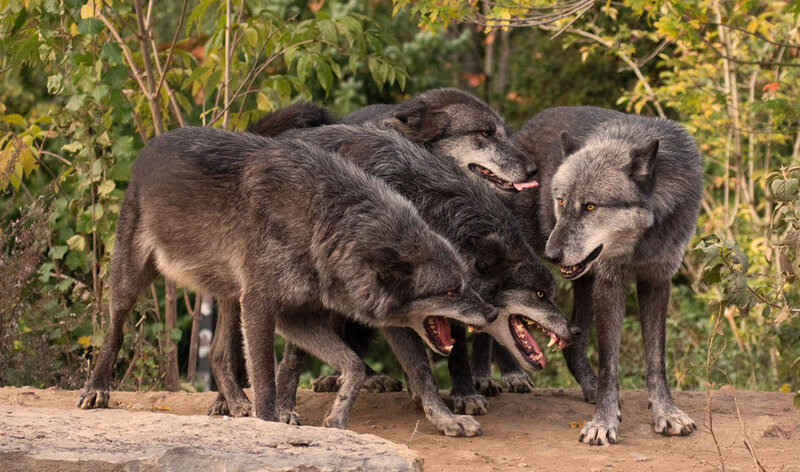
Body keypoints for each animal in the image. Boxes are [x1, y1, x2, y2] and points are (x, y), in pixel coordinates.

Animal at [76, 126, 498, 430]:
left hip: (230, 298)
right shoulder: (263, 306)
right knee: (114, 332)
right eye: (450, 290)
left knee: (217, 355)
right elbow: (266, 377)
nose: (492, 314)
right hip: (131, 281)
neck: (325, 223)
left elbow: (366, 366)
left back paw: (237, 404)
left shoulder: (298, 316)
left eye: (466, 282)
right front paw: (270, 422)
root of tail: (149, 146)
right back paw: (96, 390)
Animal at [209, 124, 577, 433]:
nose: (573, 332)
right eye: (540, 295)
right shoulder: (391, 310)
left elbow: (448, 351)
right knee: (229, 351)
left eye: (551, 293)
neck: (437, 216)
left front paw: (458, 397)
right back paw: (238, 403)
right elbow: (421, 367)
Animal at [511, 106, 703, 445]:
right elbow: (609, 364)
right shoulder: (610, 283)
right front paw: (603, 421)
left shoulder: (657, 280)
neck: (641, 240)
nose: (552, 254)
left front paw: (666, 412)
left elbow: (656, 360)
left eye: (590, 206)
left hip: (585, 282)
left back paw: (588, 388)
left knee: (573, 344)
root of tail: (521, 131)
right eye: (561, 202)